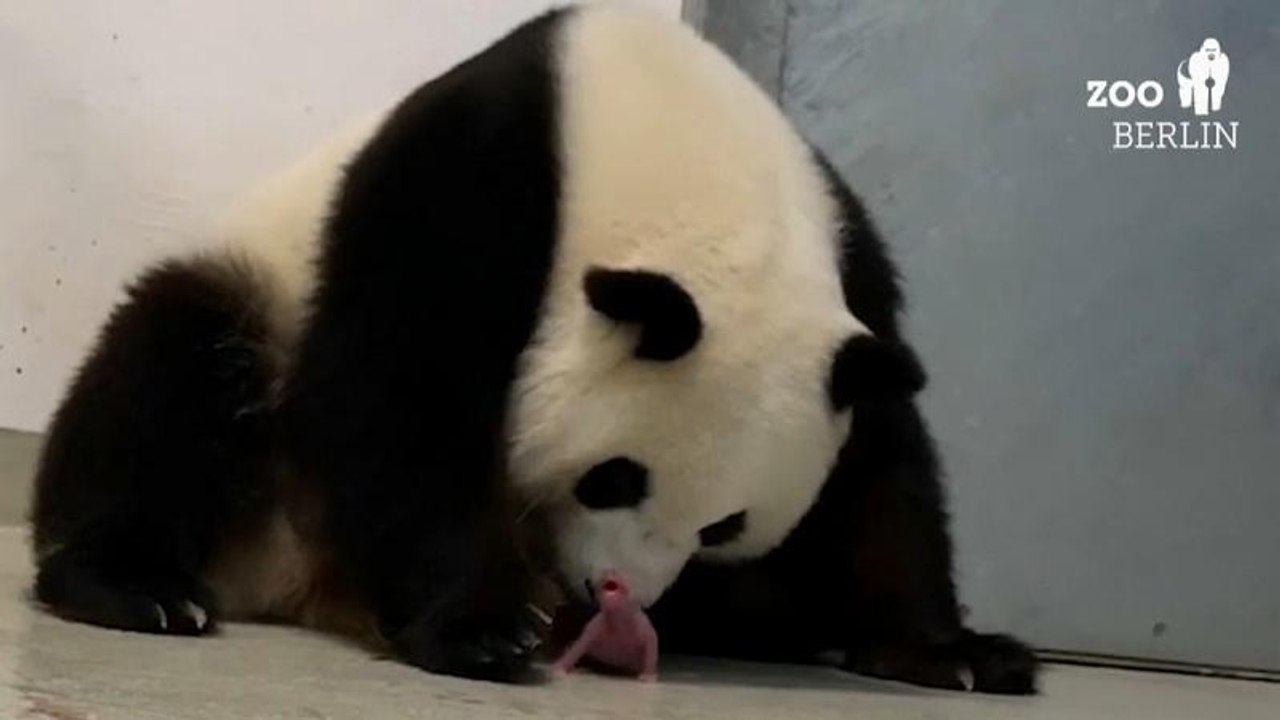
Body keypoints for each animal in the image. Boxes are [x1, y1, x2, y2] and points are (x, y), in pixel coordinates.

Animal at [29, 3, 1037, 693]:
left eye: (724, 526)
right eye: (615, 478)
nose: (616, 591)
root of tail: (295, 583)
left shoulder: (852, 270)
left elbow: (881, 465)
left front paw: (955, 651)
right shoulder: (474, 175)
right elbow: (400, 388)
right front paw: (481, 629)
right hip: (257, 317)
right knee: (171, 373)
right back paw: (138, 587)